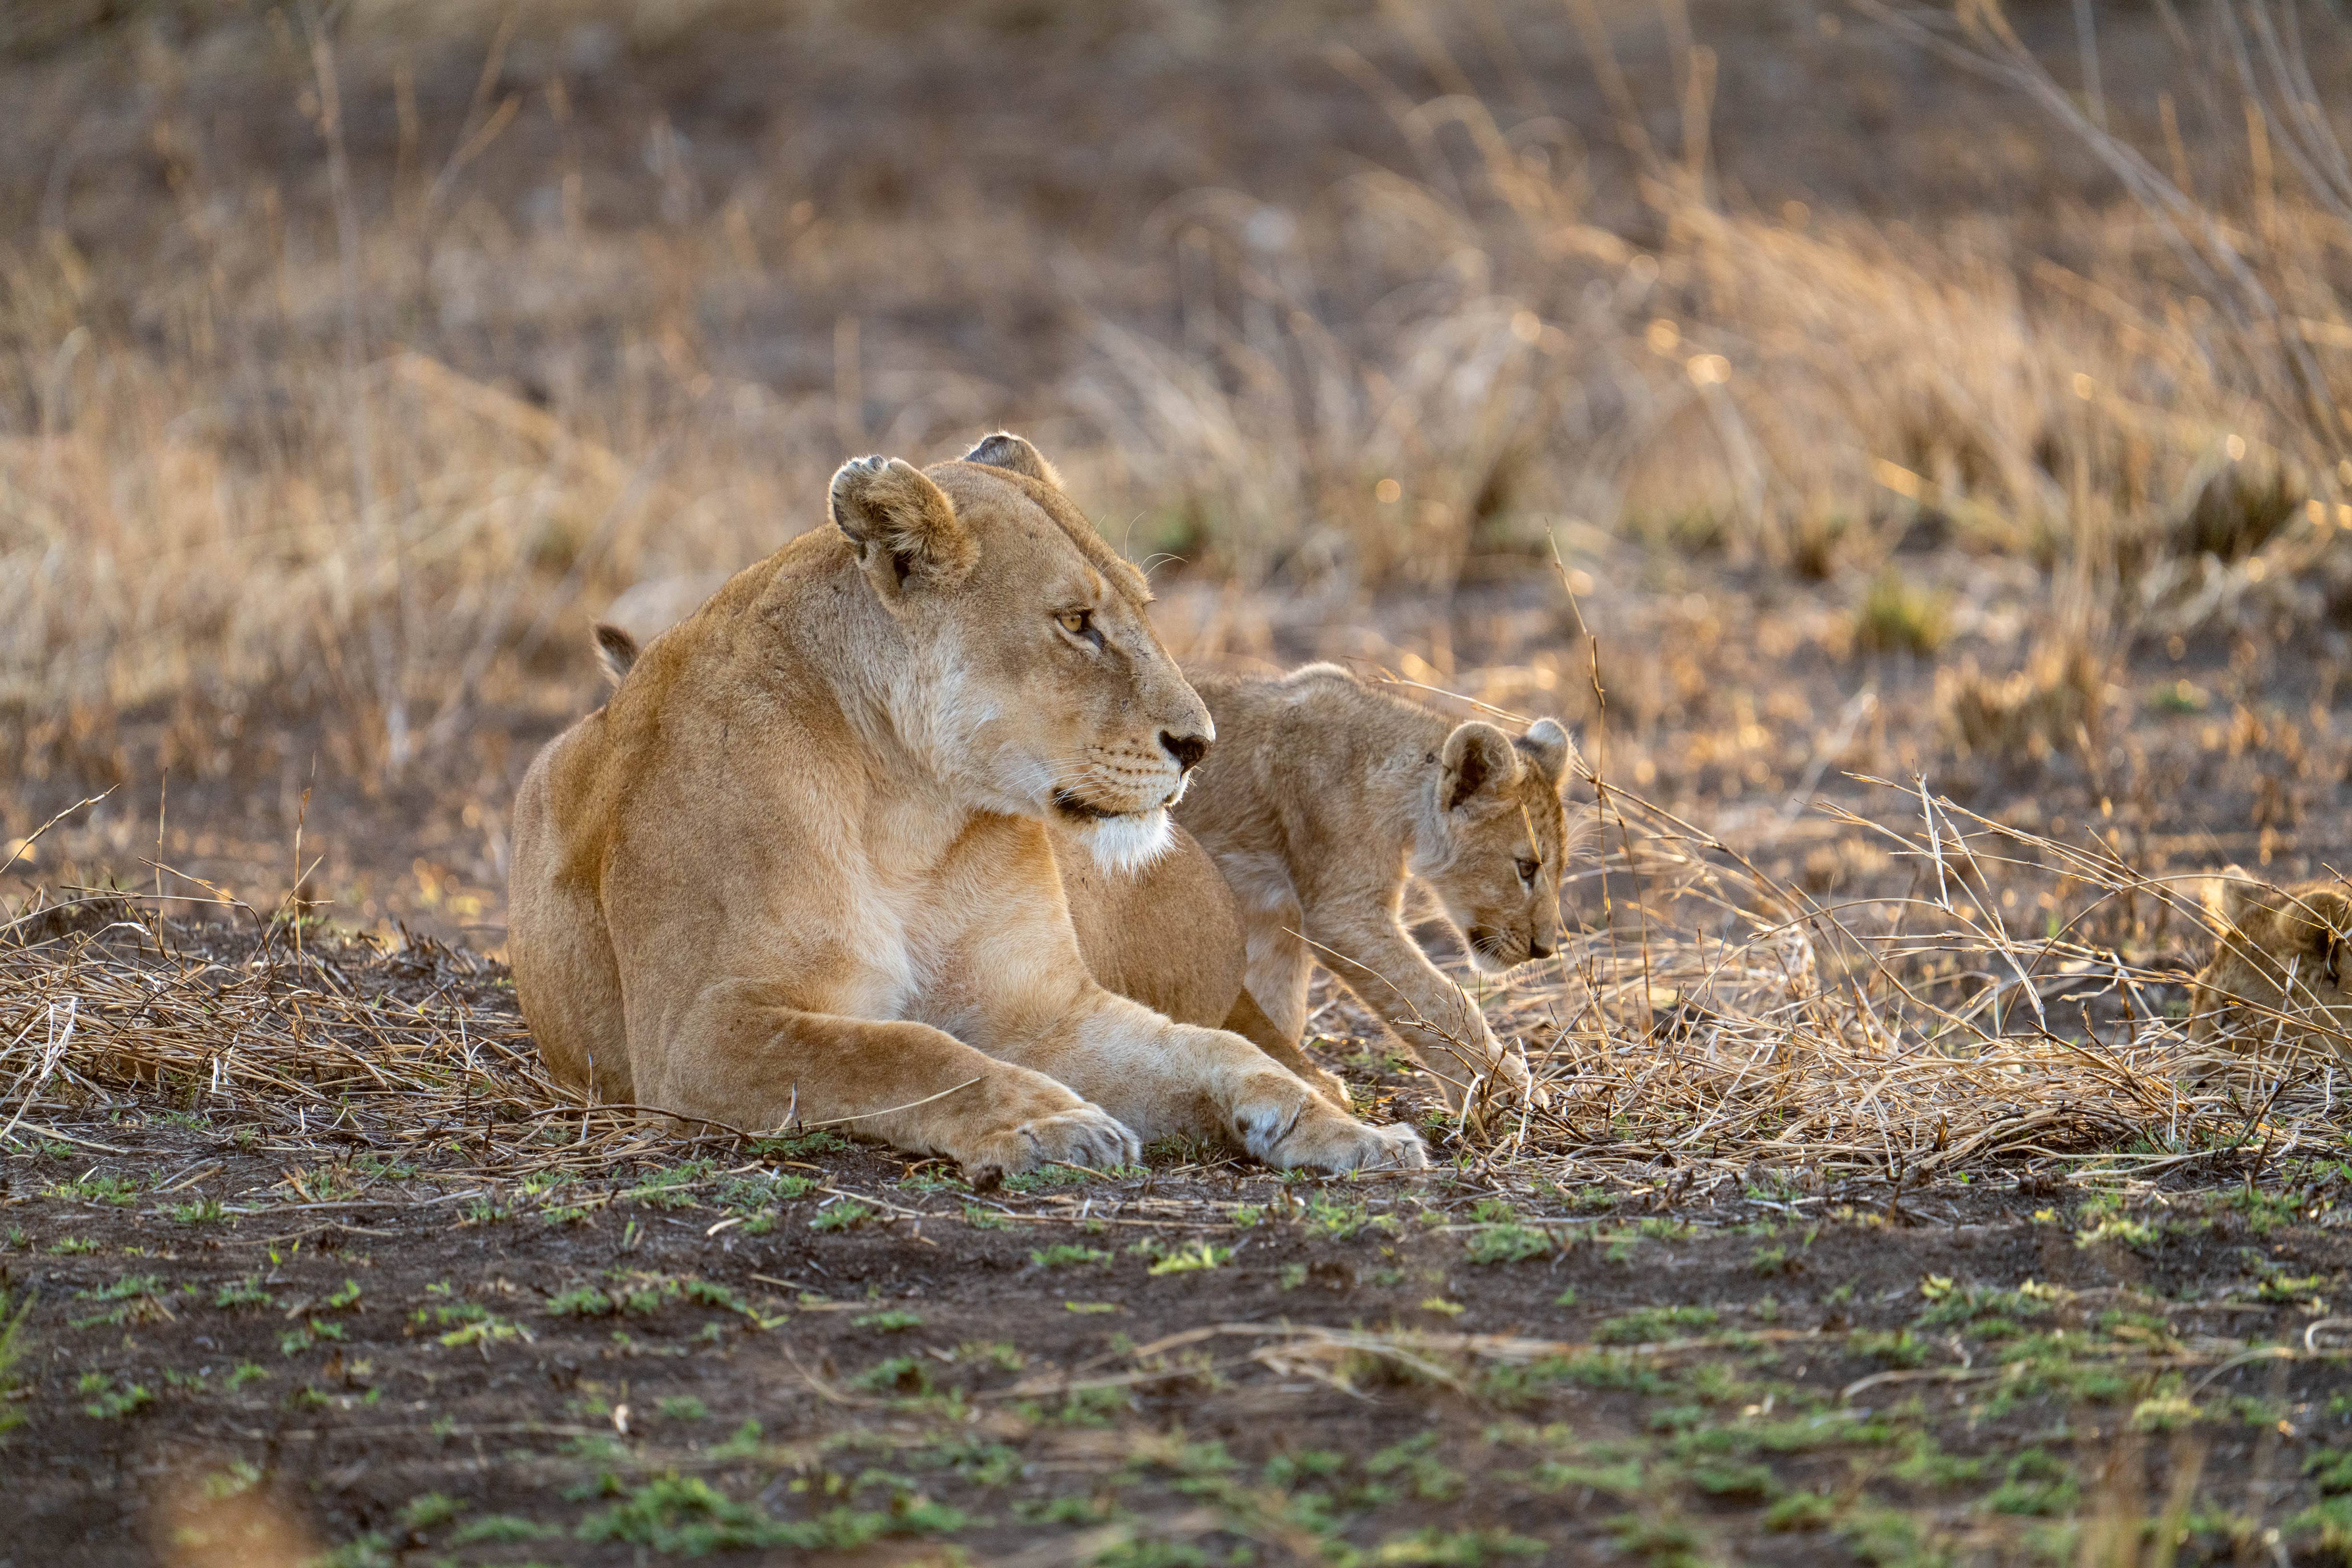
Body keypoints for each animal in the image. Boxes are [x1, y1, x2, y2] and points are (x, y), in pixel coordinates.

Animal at [509, 433, 1425, 1182]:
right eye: (1076, 623)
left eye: (1141, 608)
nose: (1199, 743)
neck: (910, 814)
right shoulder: (696, 1036)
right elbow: (900, 1051)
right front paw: (1050, 1122)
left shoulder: (1043, 1012)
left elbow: (1211, 1051)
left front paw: (1348, 1134)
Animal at [1173, 663, 1578, 1112]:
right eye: (1526, 868)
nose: (1545, 950)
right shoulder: (1344, 914)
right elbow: (1437, 998)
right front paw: (1502, 1090)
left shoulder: (1280, 915)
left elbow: (1280, 1005)